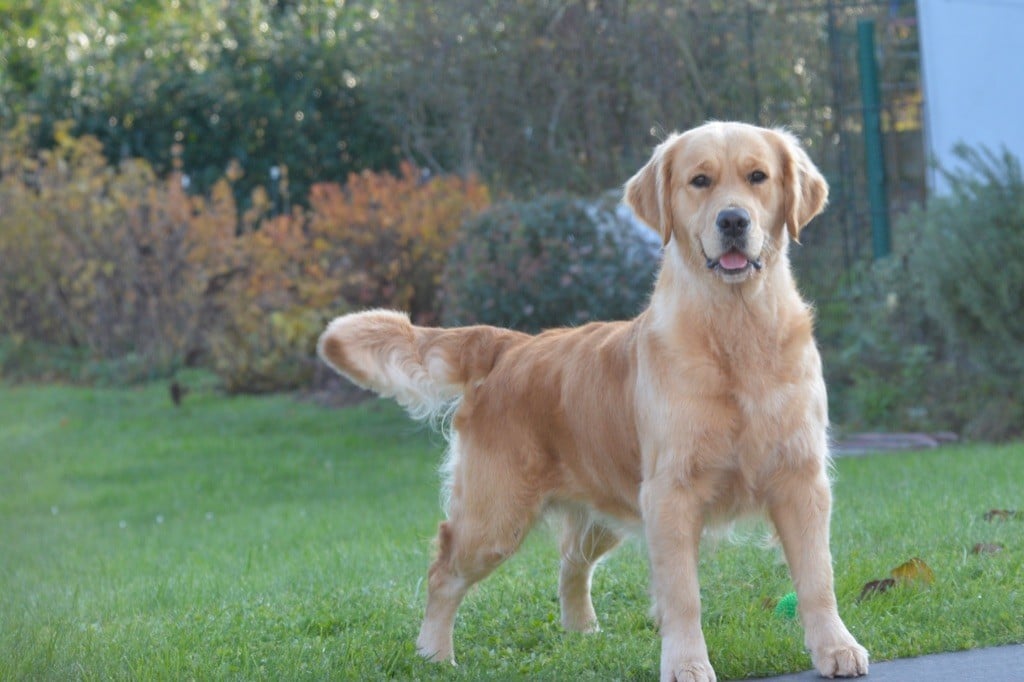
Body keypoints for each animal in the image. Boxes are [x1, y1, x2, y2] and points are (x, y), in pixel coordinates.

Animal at [317, 121, 869, 681]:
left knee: (570, 561)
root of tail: (507, 344)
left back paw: (580, 632)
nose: (733, 220)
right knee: (444, 568)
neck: (736, 332)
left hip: (602, 509)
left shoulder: (800, 477)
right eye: (700, 181)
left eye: (758, 177)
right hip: (494, 517)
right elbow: (682, 594)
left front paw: (835, 647)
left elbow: (817, 577)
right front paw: (687, 663)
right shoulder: (670, 492)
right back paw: (433, 653)